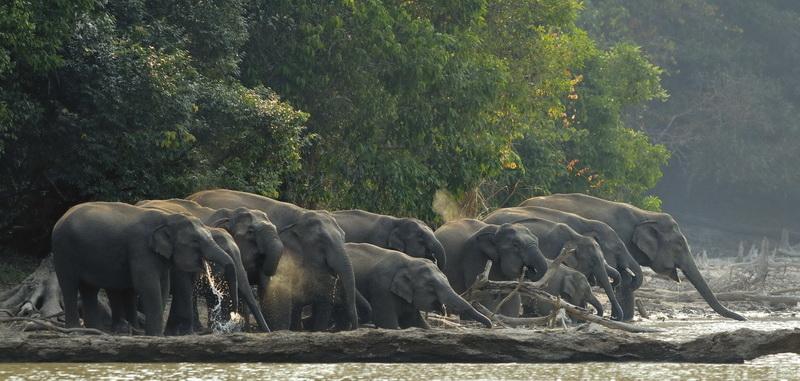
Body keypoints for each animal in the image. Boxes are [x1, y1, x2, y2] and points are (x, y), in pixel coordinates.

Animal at [51, 200, 234, 334]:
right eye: (195, 241)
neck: (166, 218)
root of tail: (61, 217)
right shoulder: (140, 248)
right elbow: (147, 285)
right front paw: (155, 335)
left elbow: (163, 286)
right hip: (63, 249)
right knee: (69, 285)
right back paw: (76, 330)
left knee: (89, 289)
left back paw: (96, 330)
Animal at [340, 242, 490, 328]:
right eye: (431, 286)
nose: (489, 325)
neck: (409, 262)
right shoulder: (381, 289)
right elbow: (388, 324)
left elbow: (416, 322)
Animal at [520, 193, 748, 320]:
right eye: (679, 245)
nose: (743, 319)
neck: (645, 215)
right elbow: (625, 275)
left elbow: (626, 276)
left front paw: (626, 319)